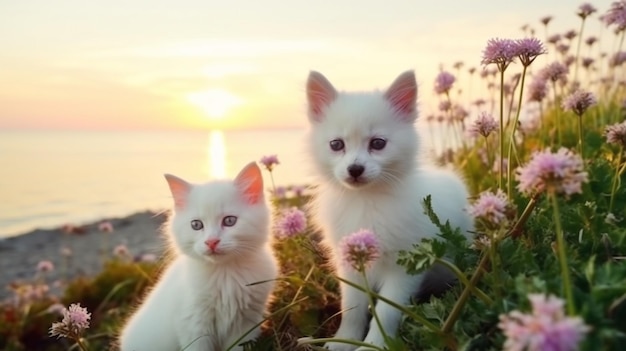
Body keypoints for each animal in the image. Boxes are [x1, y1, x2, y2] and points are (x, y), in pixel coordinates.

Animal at [120, 162, 276, 351]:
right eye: (196, 225)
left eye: (229, 221)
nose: (211, 242)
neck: (225, 275)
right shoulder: (194, 325)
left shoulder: (246, 324)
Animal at [304, 70, 470, 350]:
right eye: (336, 145)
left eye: (378, 143)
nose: (355, 169)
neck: (366, 200)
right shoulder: (350, 263)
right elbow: (351, 307)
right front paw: (343, 340)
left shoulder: (405, 267)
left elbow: (387, 311)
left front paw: (375, 344)